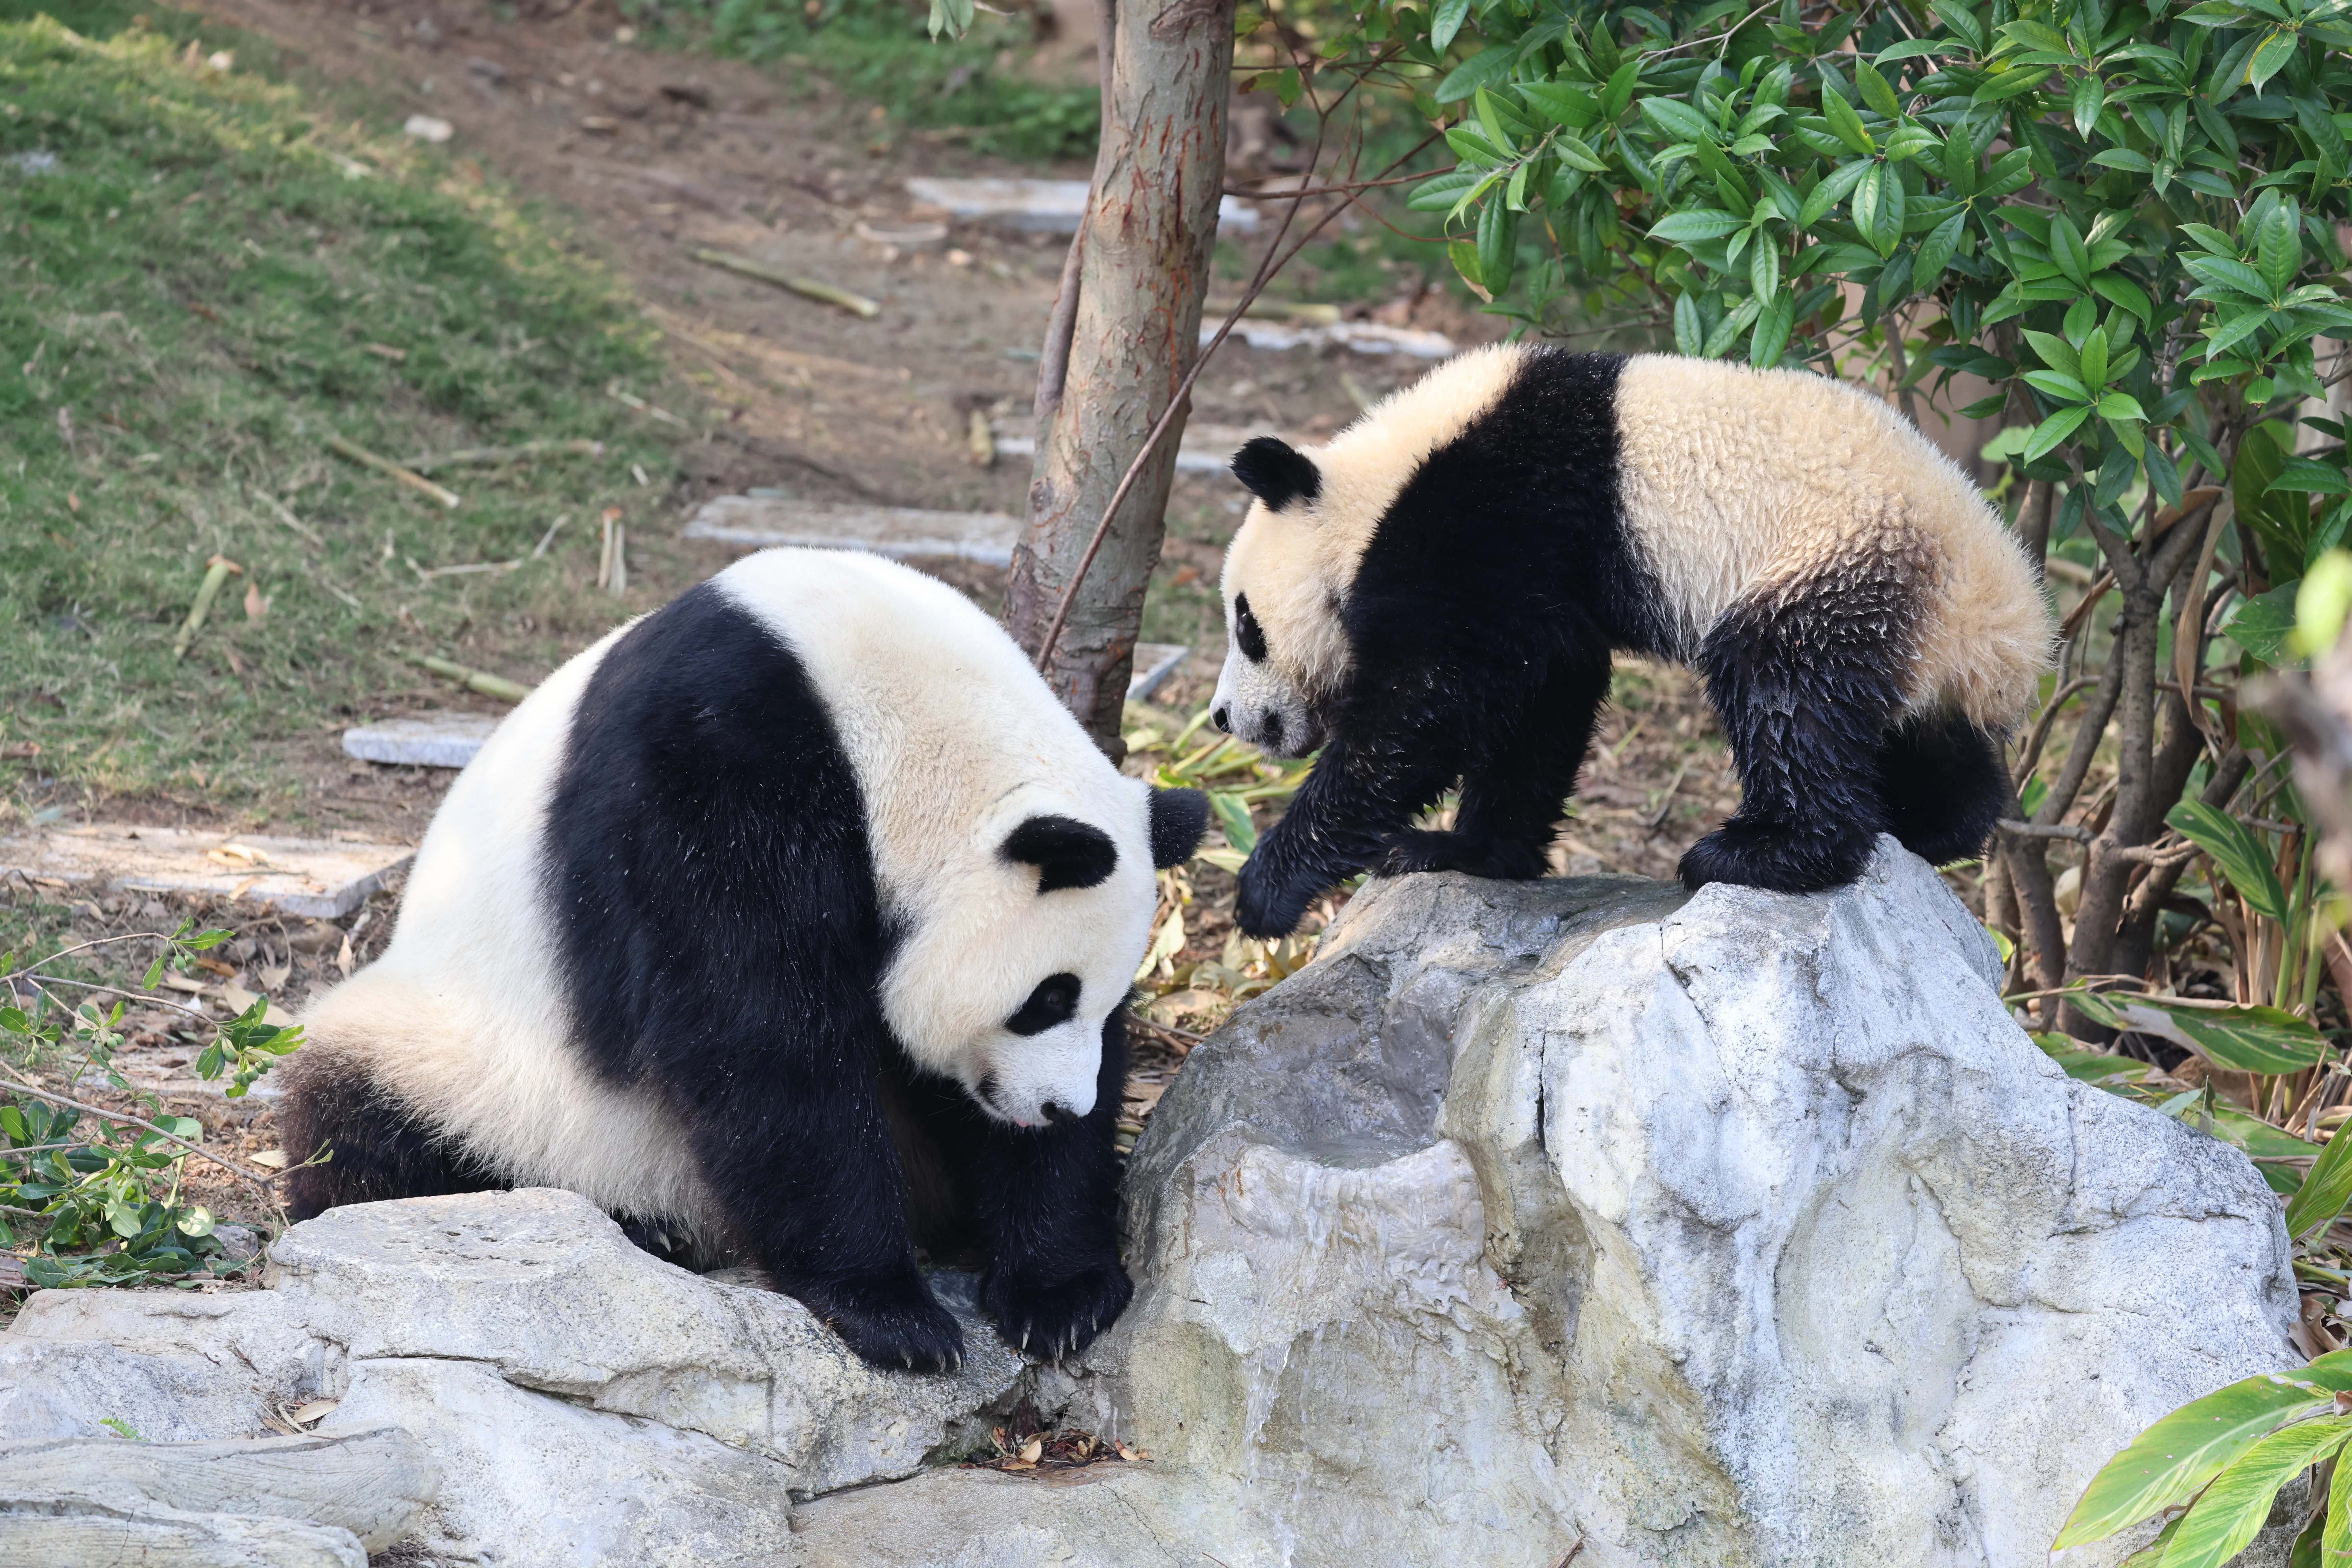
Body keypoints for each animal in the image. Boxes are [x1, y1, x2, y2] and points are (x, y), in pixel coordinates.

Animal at [281, 549, 1208, 1372]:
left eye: (1103, 999)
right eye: (1045, 999)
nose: (1056, 1105)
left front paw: (1059, 1292)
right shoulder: (708, 767)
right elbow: (756, 1033)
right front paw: (893, 1314)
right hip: (478, 1053)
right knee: (369, 1130)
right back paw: (637, 1224)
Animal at [1212, 345, 2052, 939]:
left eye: (1247, 625)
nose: (1223, 718)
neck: (1372, 490)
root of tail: (2010, 620)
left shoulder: (1483, 522)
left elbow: (1423, 707)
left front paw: (1267, 888)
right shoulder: (1533, 577)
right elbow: (1542, 702)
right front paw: (1467, 854)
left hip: (1834, 563)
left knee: (1784, 688)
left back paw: (1761, 853)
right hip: (1912, 631)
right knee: (1919, 735)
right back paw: (1931, 823)